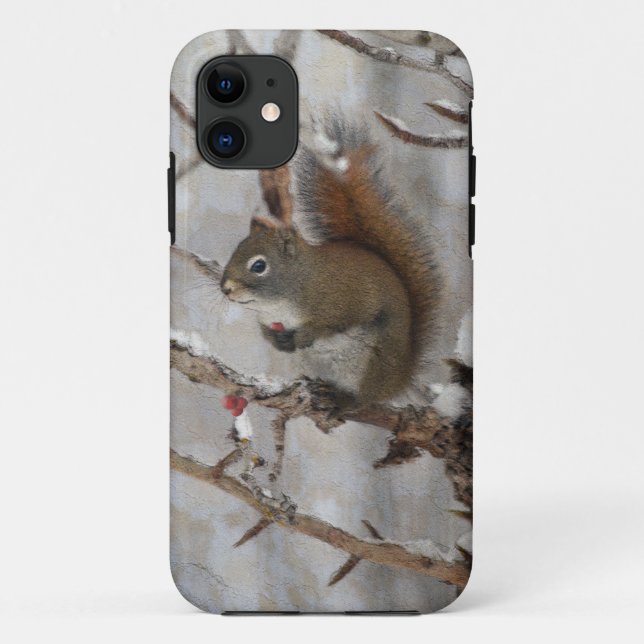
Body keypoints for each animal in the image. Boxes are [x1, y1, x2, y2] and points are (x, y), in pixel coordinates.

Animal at [220, 127, 439, 409]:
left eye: (259, 265)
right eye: (236, 249)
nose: (226, 288)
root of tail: (401, 378)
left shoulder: (346, 298)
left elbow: (334, 323)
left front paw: (305, 335)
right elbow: (268, 333)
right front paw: (278, 341)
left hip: (373, 365)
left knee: (365, 400)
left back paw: (344, 402)